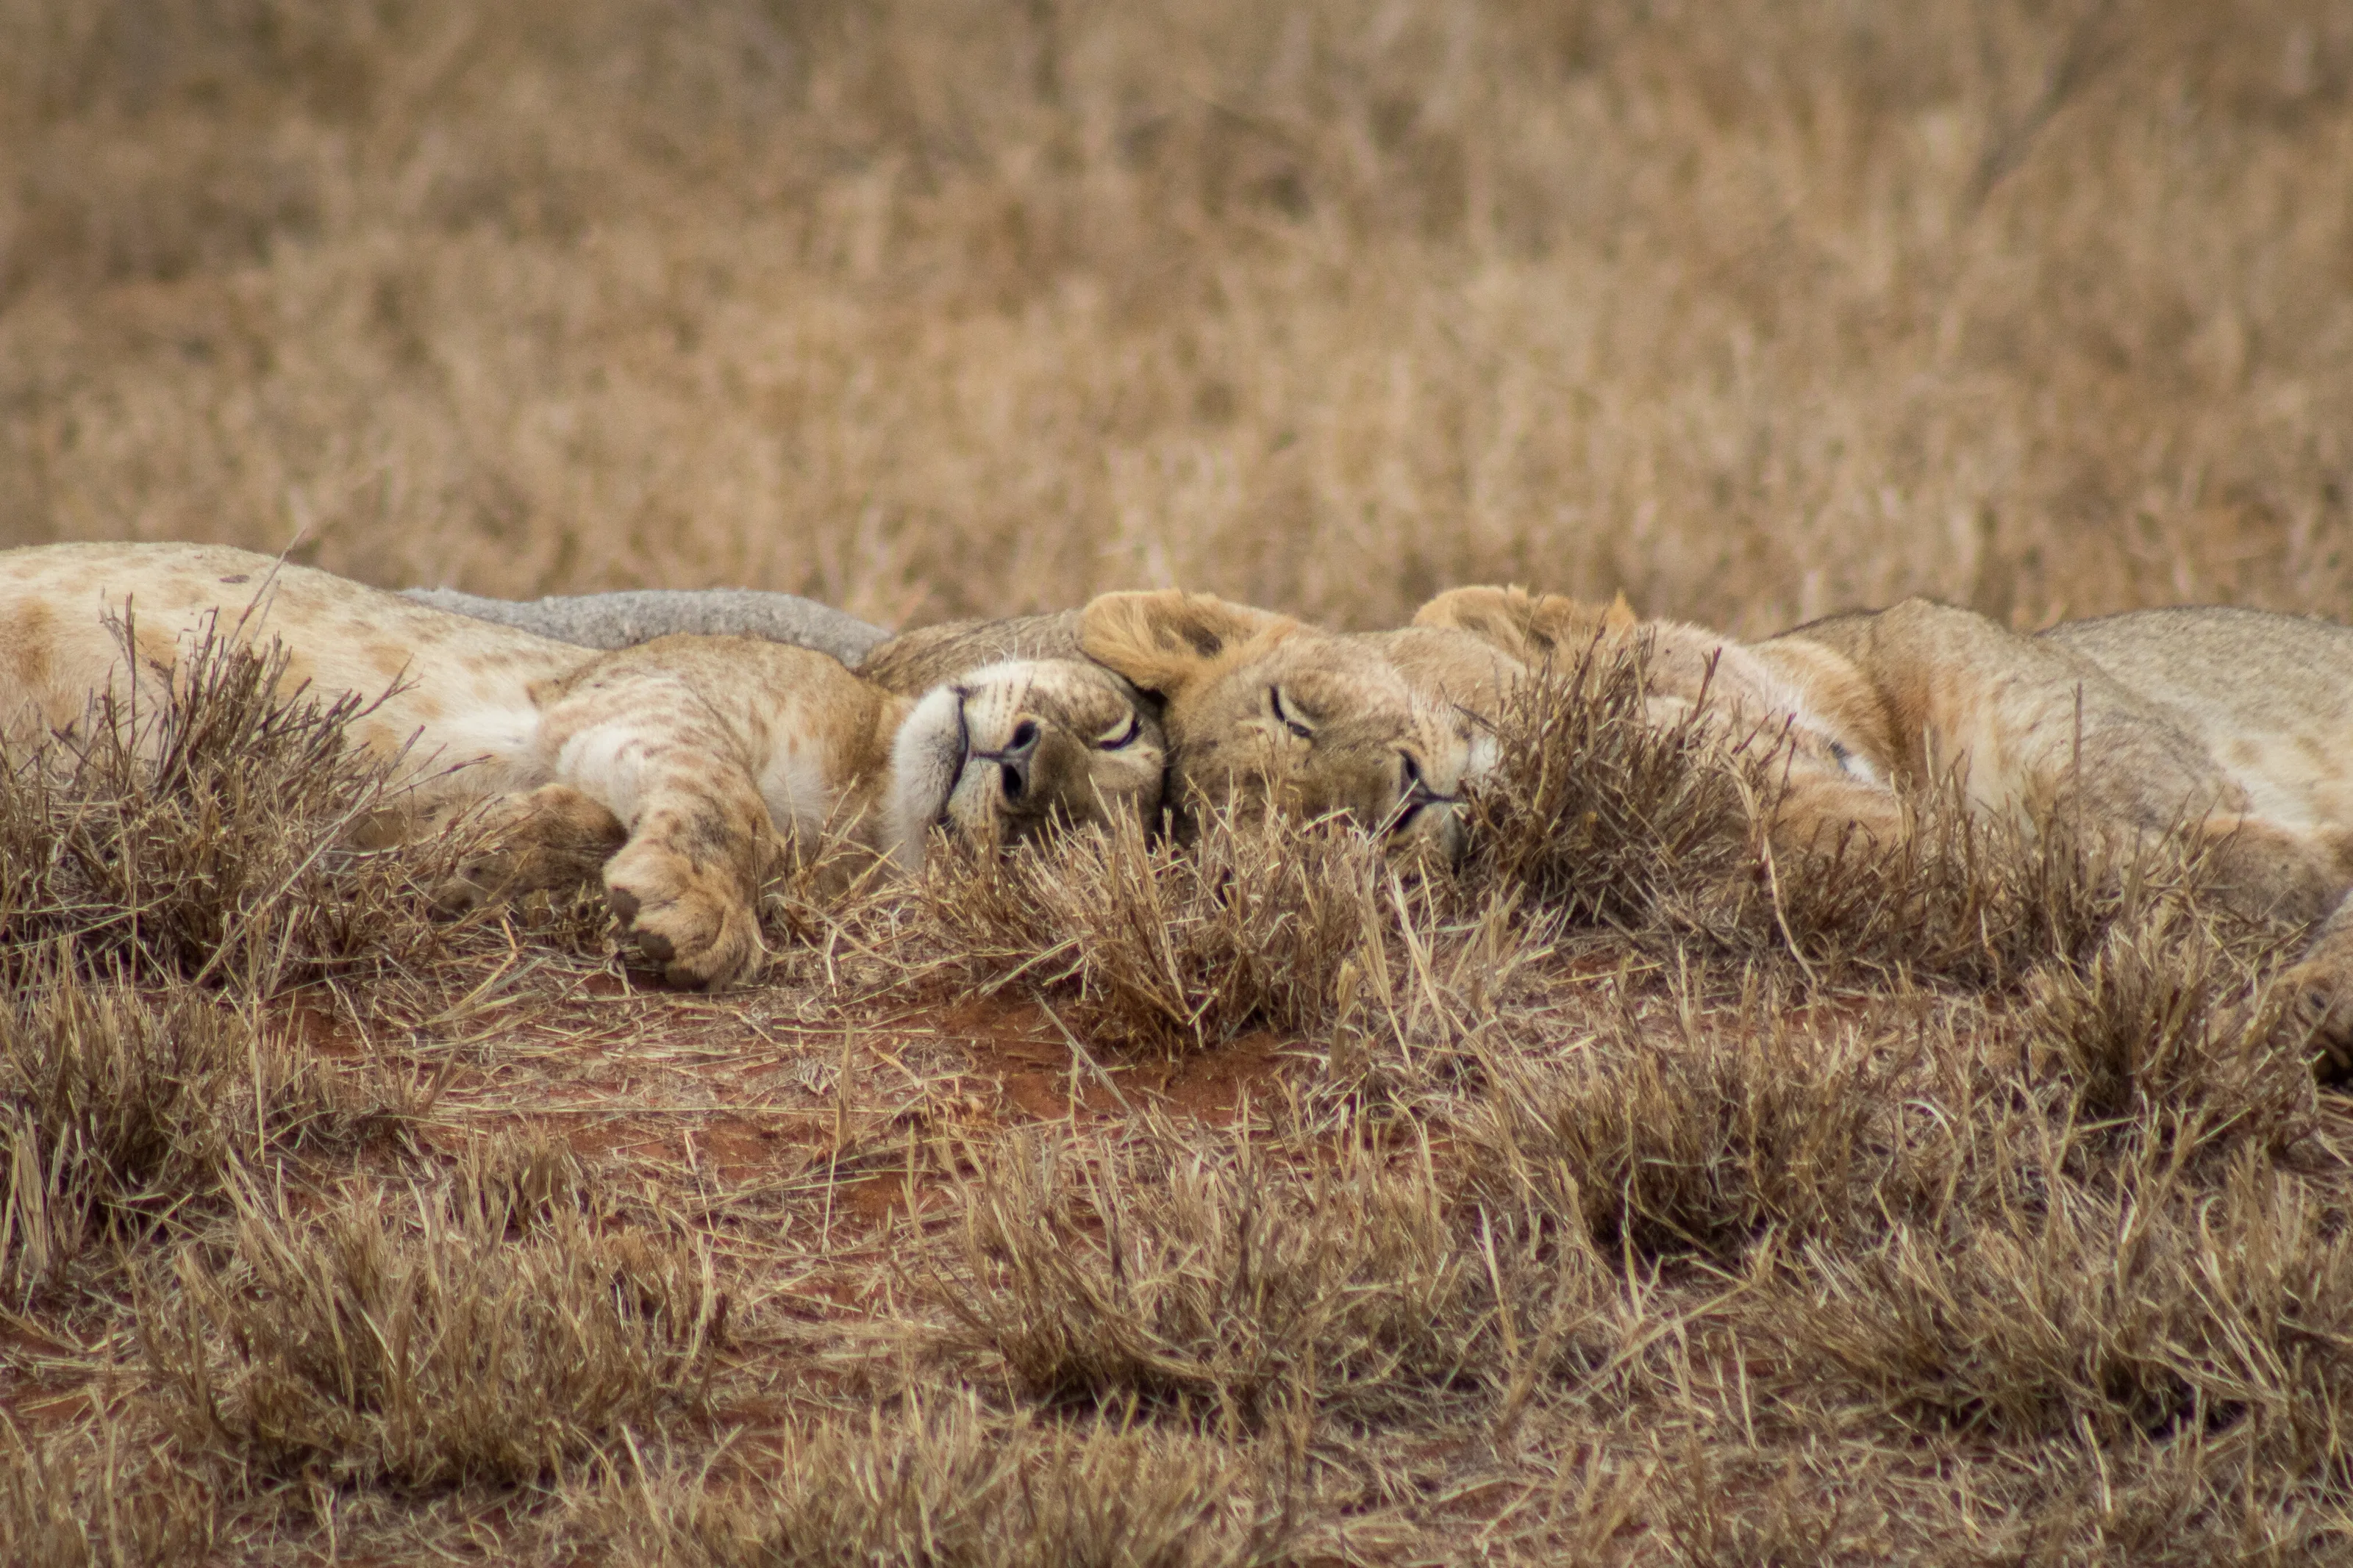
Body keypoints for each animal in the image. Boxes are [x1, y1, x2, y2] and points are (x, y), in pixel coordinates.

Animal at [0, 543, 1166, 988]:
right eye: (1116, 729)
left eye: (1059, 841)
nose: (1021, 765)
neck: (857, 799)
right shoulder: (636, 683)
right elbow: (725, 798)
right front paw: (699, 915)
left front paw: (482, 858)